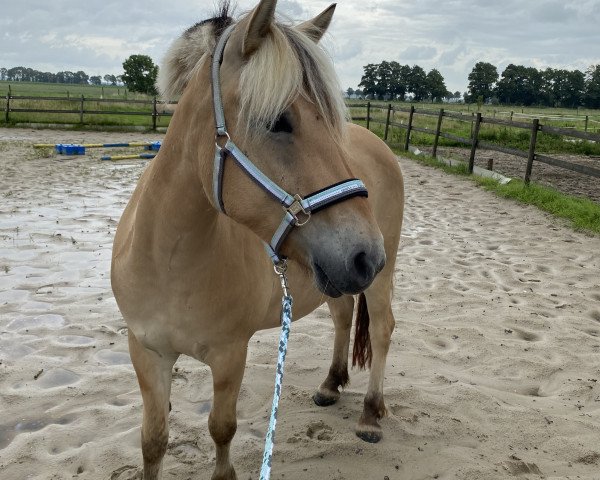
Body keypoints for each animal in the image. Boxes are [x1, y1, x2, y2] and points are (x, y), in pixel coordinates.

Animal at [110, 1, 406, 478]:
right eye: (278, 121)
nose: (367, 254)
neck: (168, 261)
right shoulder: (147, 353)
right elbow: (152, 441)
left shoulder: (231, 354)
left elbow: (221, 428)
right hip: (337, 278)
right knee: (343, 317)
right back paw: (330, 384)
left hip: (378, 277)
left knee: (381, 329)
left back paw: (370, 415)